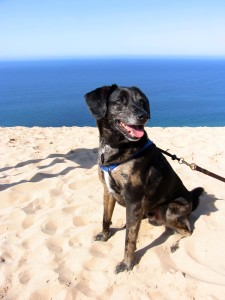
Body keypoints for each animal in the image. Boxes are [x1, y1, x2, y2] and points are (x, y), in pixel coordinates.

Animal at [85, 84, 204, 274]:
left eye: (142, 102)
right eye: (120, 100)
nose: (144, 116)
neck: (117, 147)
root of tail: (191, 199)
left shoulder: (133, 198)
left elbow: (130, 239)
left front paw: (127, 263)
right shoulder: (108, 191)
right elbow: (105, 217)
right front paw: (104, 235)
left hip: (172, 209)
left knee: (188, 230)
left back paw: (175, 244)